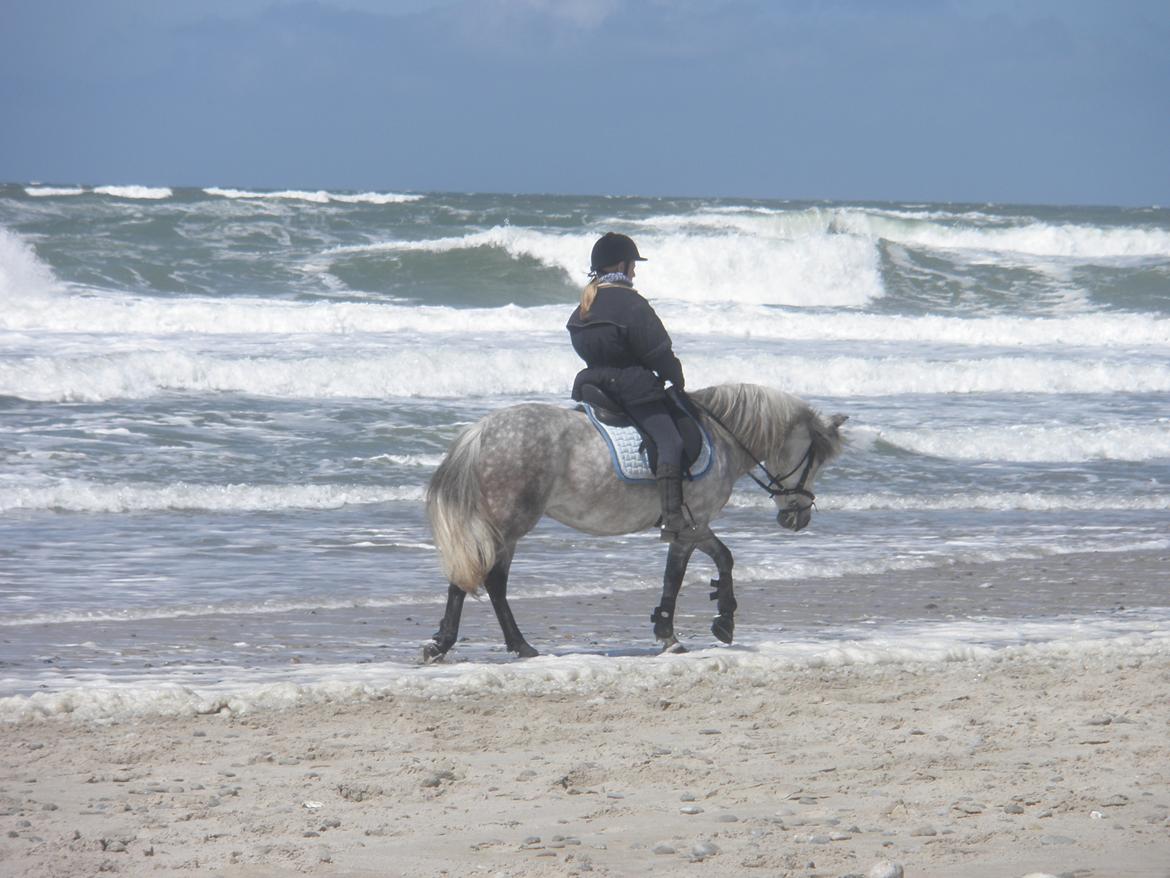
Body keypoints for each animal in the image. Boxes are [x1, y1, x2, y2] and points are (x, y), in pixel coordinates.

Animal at [425, 381, 847, 664]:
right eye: (814, 460)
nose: (798, 517)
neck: (720, 436)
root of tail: (480, 430)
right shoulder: (690, 526)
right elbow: (676, 578)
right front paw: (671, 635)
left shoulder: (696, 525)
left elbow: (723, 558)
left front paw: (723, 619)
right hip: (508, 521)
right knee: (488, 578)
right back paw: (494, 644)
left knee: (477, 578)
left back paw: (470, 643)